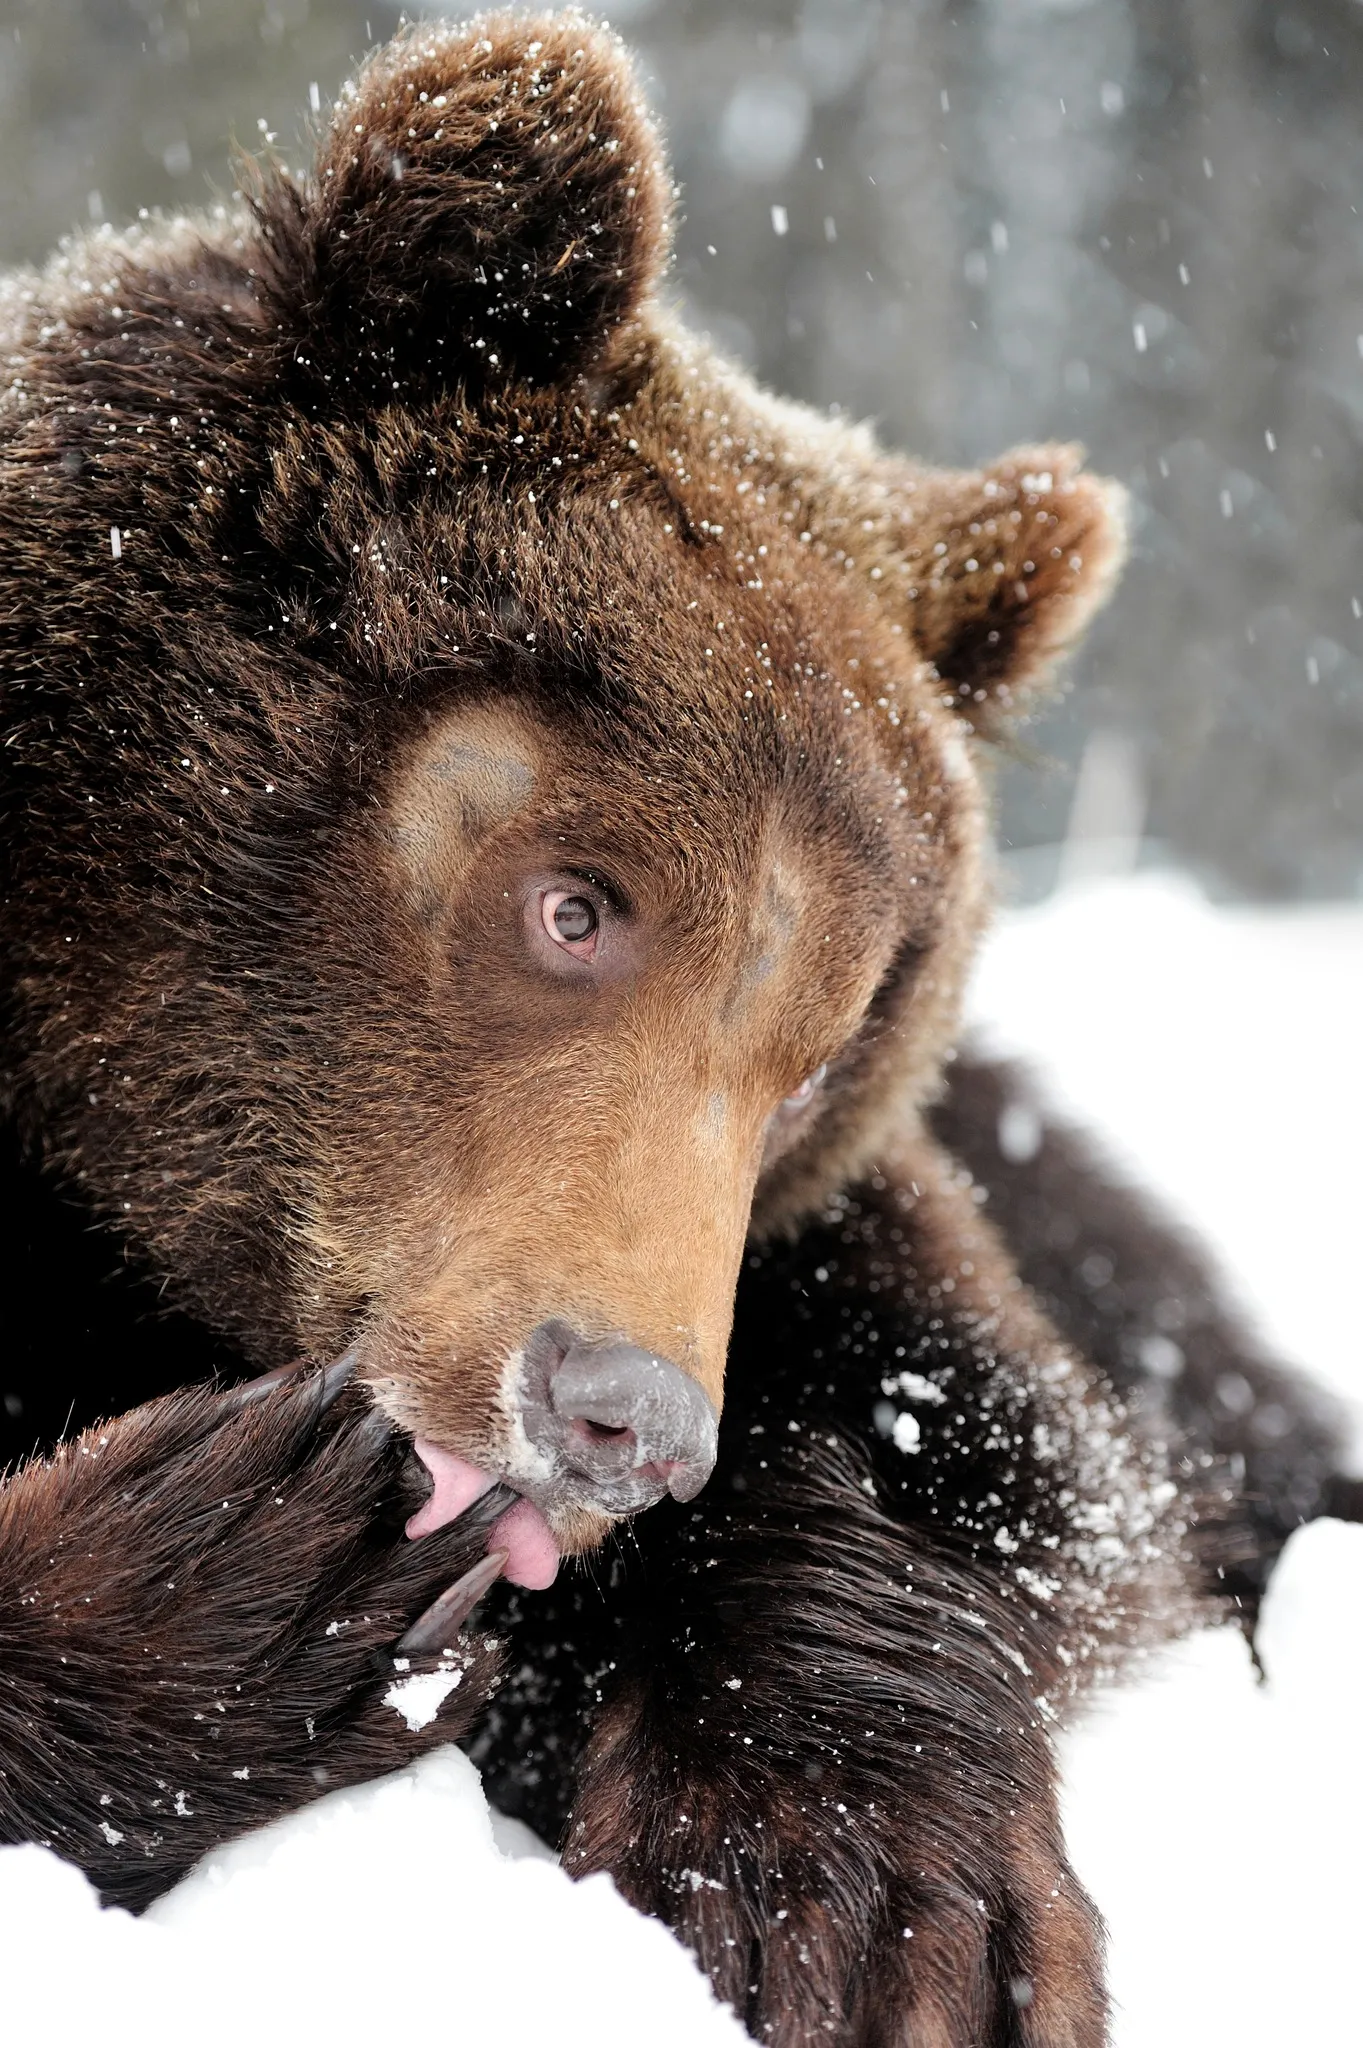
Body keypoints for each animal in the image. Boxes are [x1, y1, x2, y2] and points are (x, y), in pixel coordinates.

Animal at [0, 16, 1342, 2048]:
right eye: (574, 902)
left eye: (821, 1049)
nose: (619, 1416)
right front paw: (254, 1567)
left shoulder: (846, 1232)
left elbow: (991, 1452)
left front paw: (879, 1905)